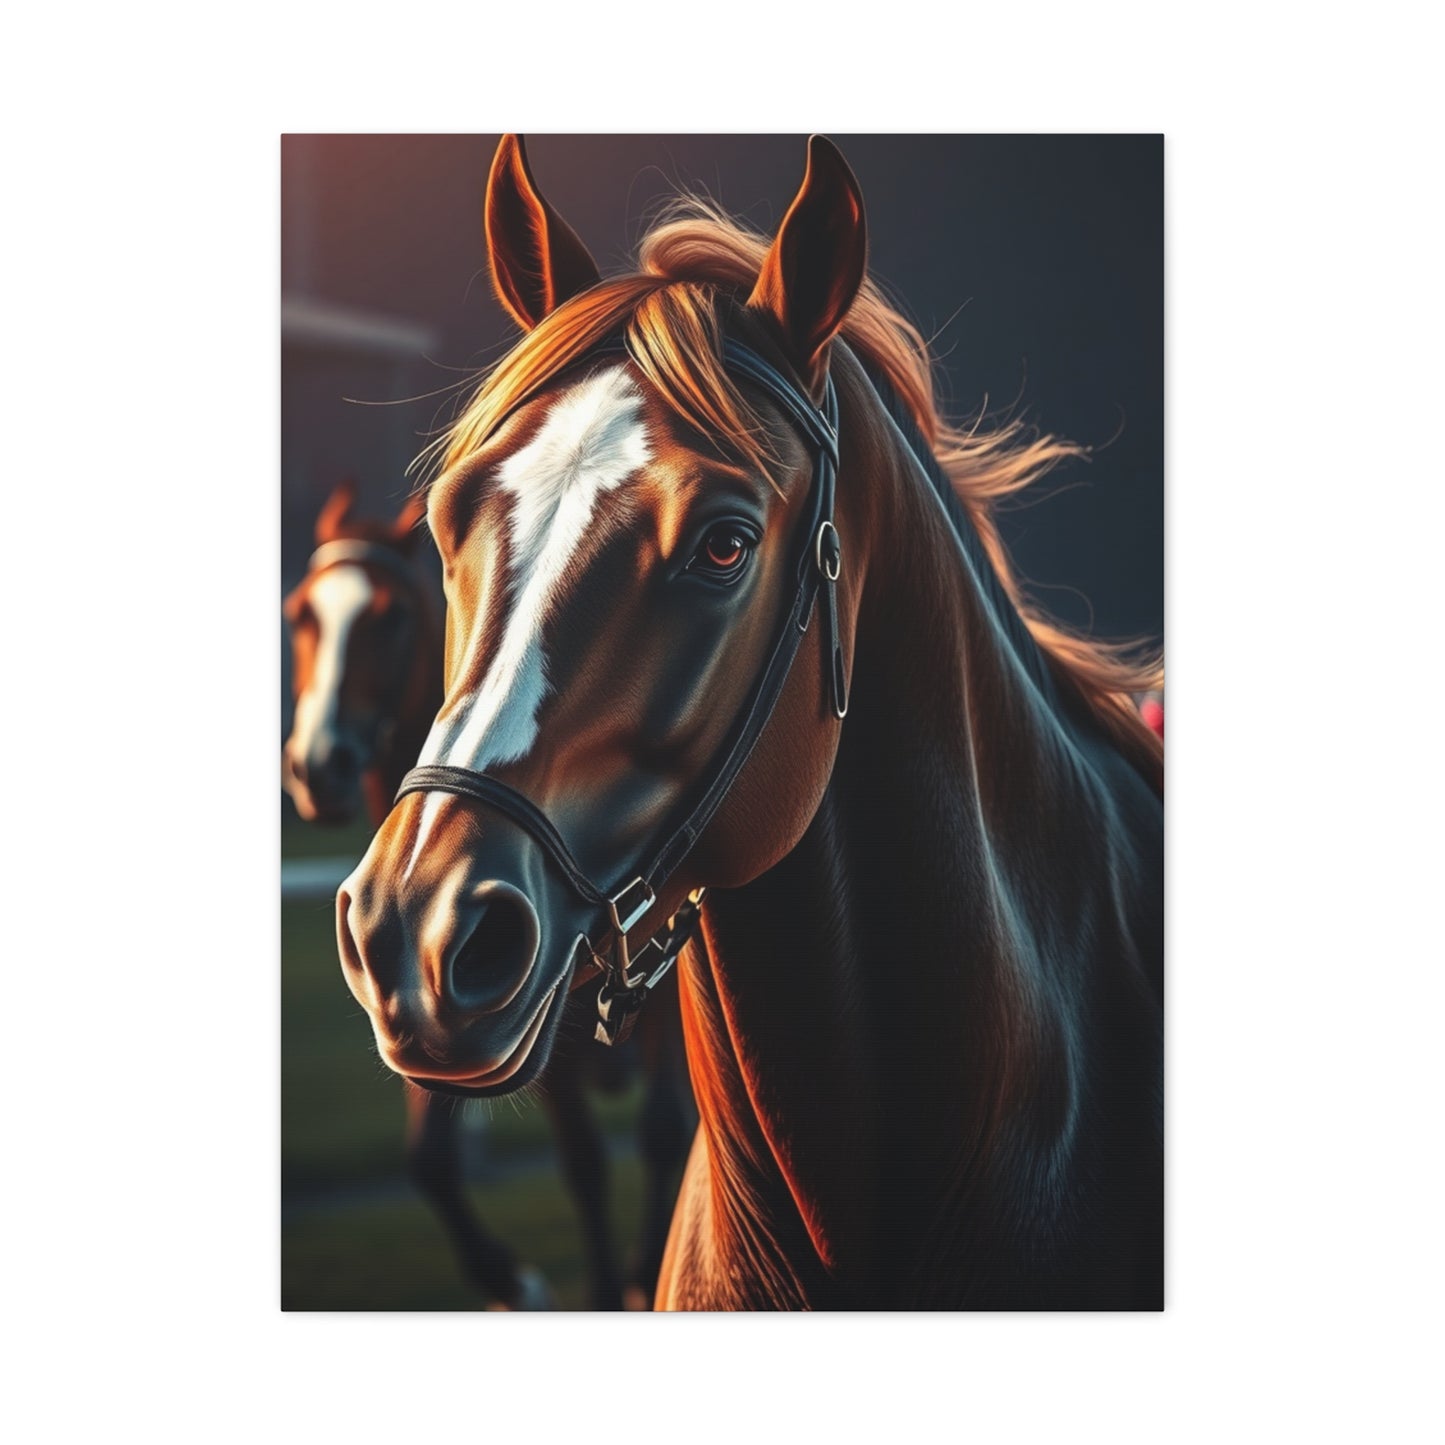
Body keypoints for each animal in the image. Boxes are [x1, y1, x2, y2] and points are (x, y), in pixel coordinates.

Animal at [284, 482, 693, 1309]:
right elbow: (446, 1160)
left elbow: (657, 1133)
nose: (317, 767)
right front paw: (516, 1280)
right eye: (299, 614)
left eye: (389, 616)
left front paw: (638, 1276)